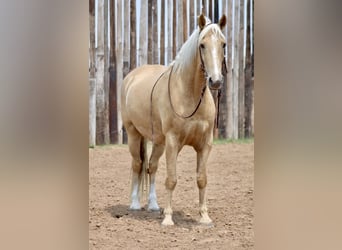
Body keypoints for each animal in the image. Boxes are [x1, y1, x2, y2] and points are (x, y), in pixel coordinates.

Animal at [121, 14, 227, 227]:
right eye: (202, 45)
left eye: (223, 44)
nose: (216, 81)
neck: (189, 95)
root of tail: (131, 77)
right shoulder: (173, 142)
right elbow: (171, 179)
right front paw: (168, 219)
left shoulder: (205, 144)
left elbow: (202, 179)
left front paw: (204, 217)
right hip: (133, 134)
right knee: (137, 164)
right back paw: (135, 204)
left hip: (158, 142)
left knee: (151, 167)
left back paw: (153, 205)